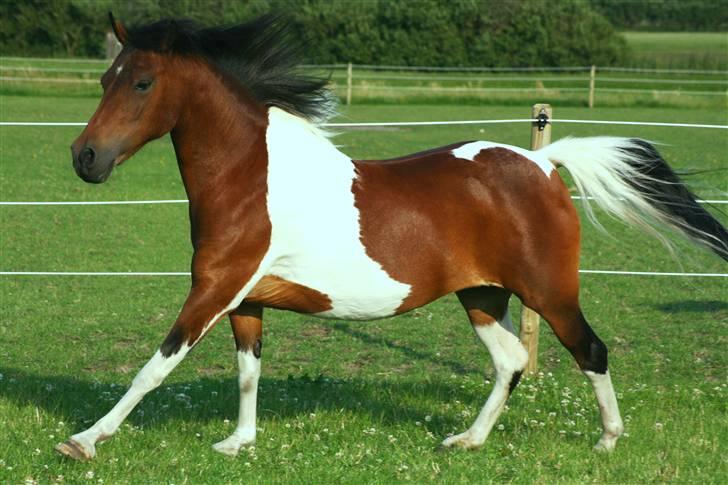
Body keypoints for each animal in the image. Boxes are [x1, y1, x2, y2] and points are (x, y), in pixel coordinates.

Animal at [57, 14, 728, 460]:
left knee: (590, 351)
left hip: (550, 291)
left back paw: (607, 441)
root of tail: (542, 163)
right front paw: (238, 443)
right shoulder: (244, 300)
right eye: (106, 77)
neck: (250, 179)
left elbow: (154, 367)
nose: (85, 158)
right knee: (511, 360)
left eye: (142, 83)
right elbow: (248, 372)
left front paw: (84, 440)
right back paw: (467, 439)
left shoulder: (213, 290)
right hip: (482, 295)